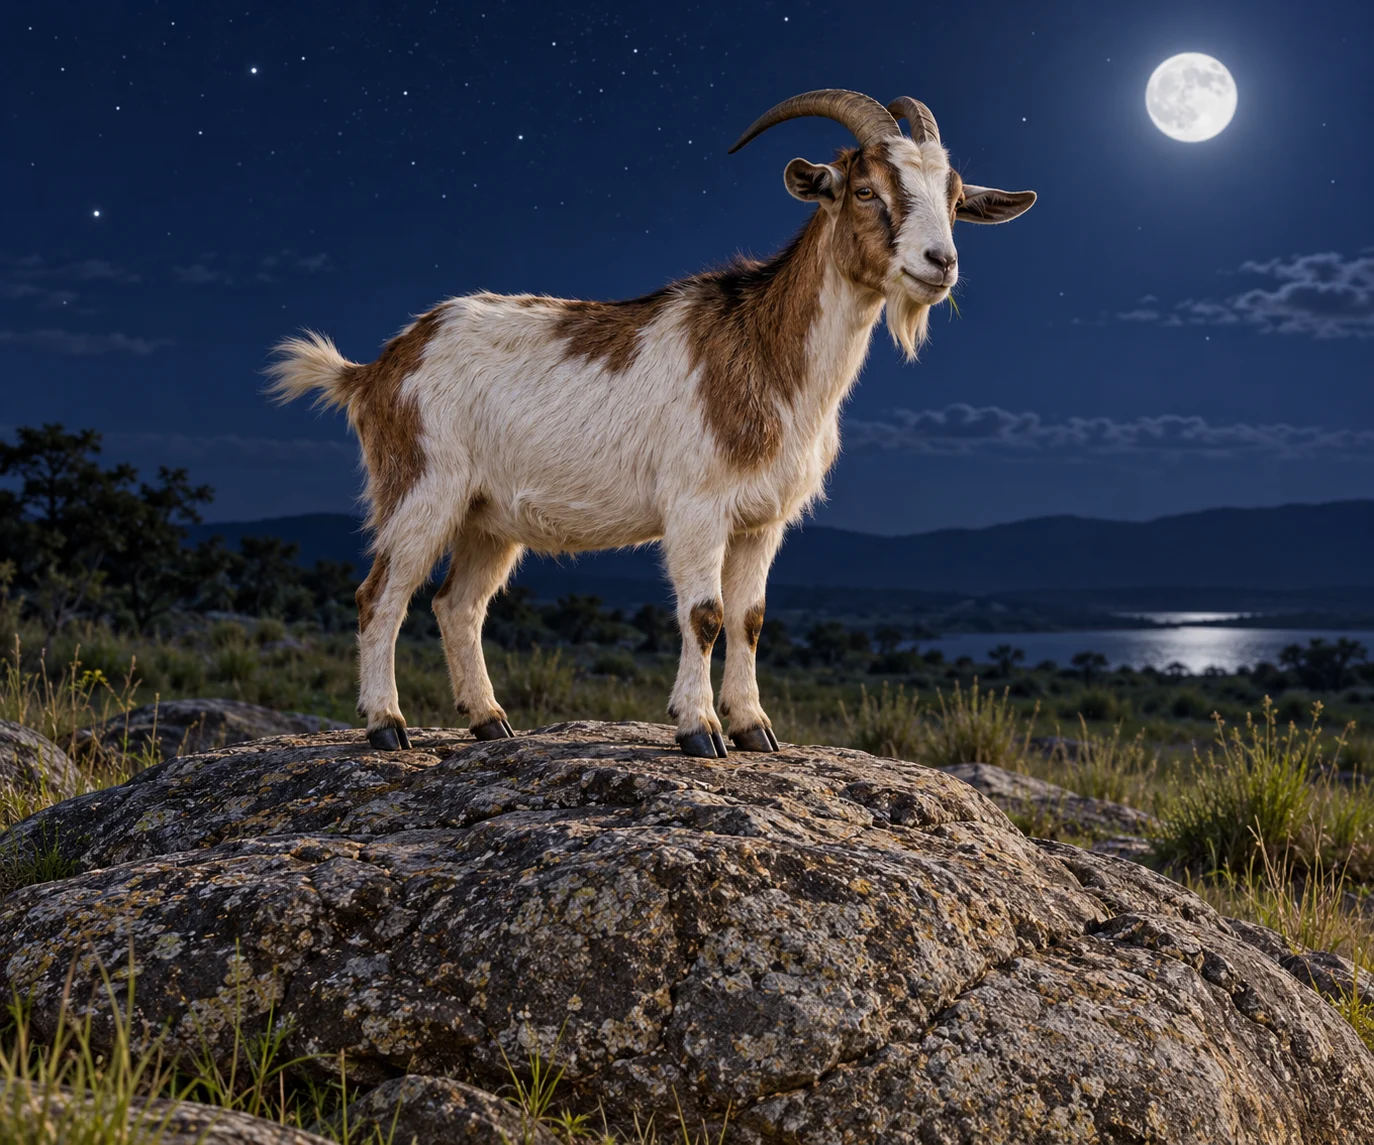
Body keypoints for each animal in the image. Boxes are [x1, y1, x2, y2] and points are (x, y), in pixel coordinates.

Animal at [268, 89, 1035, 758]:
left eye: (955, 199)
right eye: (866, 189)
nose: (941, 262)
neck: (765, 349)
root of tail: (377, 367)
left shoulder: (762, 519)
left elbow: (751, 618)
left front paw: (755, 728)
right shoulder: (697, 505)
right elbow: (704, 613)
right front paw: (700, 731)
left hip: (487, 516)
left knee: (458, 605)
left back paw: (490, 721)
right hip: (421, 484)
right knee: (381, 595)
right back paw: (386, 725)